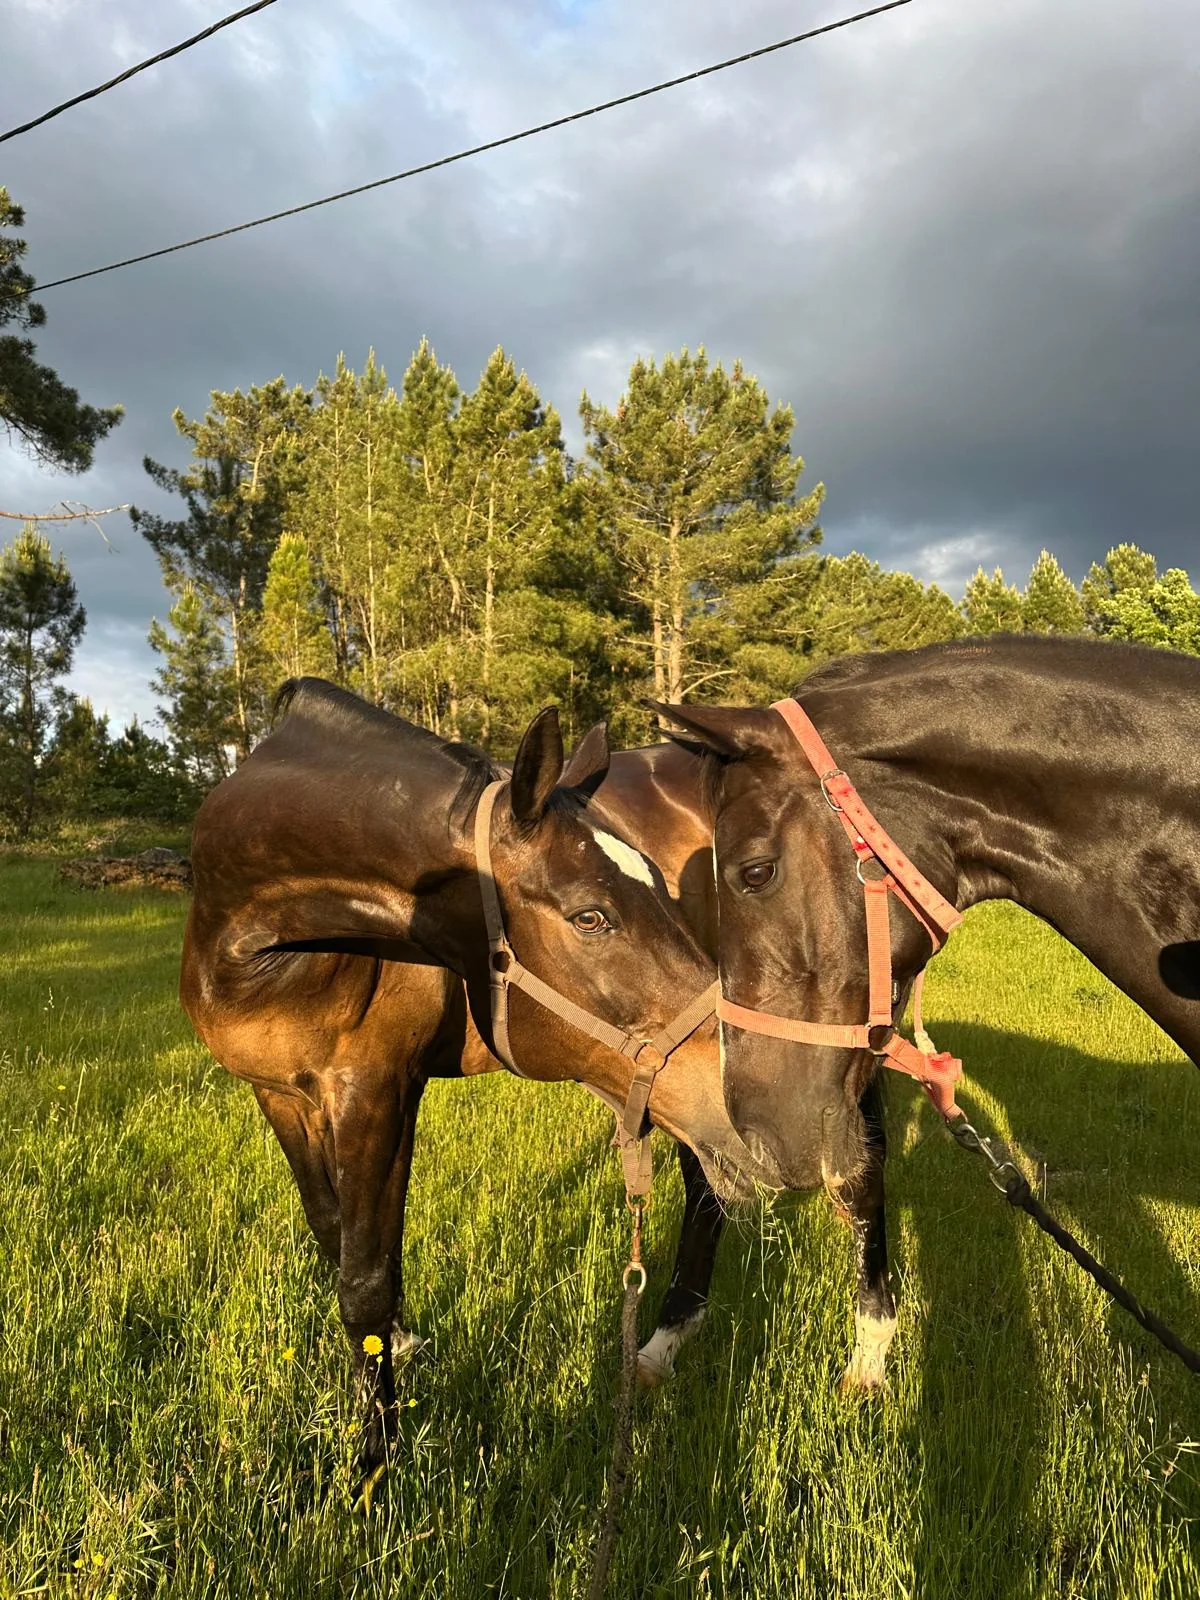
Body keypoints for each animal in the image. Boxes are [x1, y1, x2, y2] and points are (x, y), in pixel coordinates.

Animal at [181, 679, 782, 1491]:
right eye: (590, 916)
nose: (739, 1095)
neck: (260, 945)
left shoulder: (378, 1089)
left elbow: (365, 1279)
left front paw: (373, 1468)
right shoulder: (280, 1094)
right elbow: (337, 1237)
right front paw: (398, 1357)